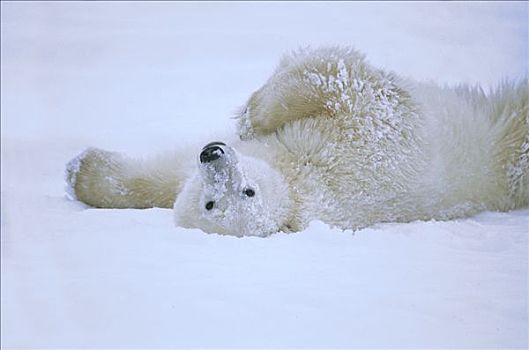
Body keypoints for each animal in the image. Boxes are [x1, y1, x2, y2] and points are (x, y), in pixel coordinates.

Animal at [66, 46, 528, 237]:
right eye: (211, 204)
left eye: (248, 192)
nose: (213, 154)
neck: (295, 181)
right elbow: (163, 179)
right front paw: (81, 171)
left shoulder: (364, 146)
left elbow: (343, 83)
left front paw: (251, 116)